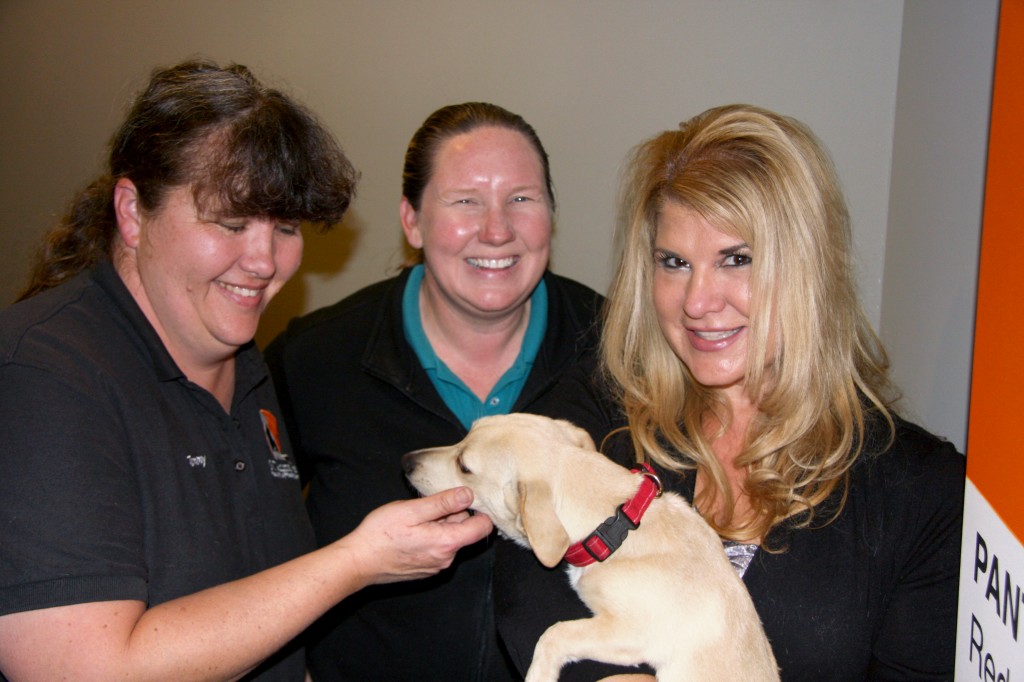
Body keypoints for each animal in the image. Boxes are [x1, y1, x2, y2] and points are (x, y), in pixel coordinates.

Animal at [399, 411, 774, 675]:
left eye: (464, 466)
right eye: (465, 434)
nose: (405, 462)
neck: (617, 526)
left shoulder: (632, 632)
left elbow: (554, 633)